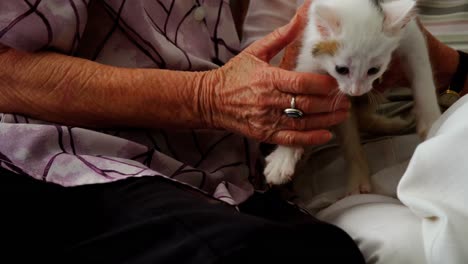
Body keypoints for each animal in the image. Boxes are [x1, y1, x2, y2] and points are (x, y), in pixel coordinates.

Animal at [266, 0, 440, 194]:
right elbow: (301, 89)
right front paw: (283, 156)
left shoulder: (411, 34)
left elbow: (422, 71)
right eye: (341, 70)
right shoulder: (312, 49)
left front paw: (432, 122)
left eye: (374, 70)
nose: (356, 92)